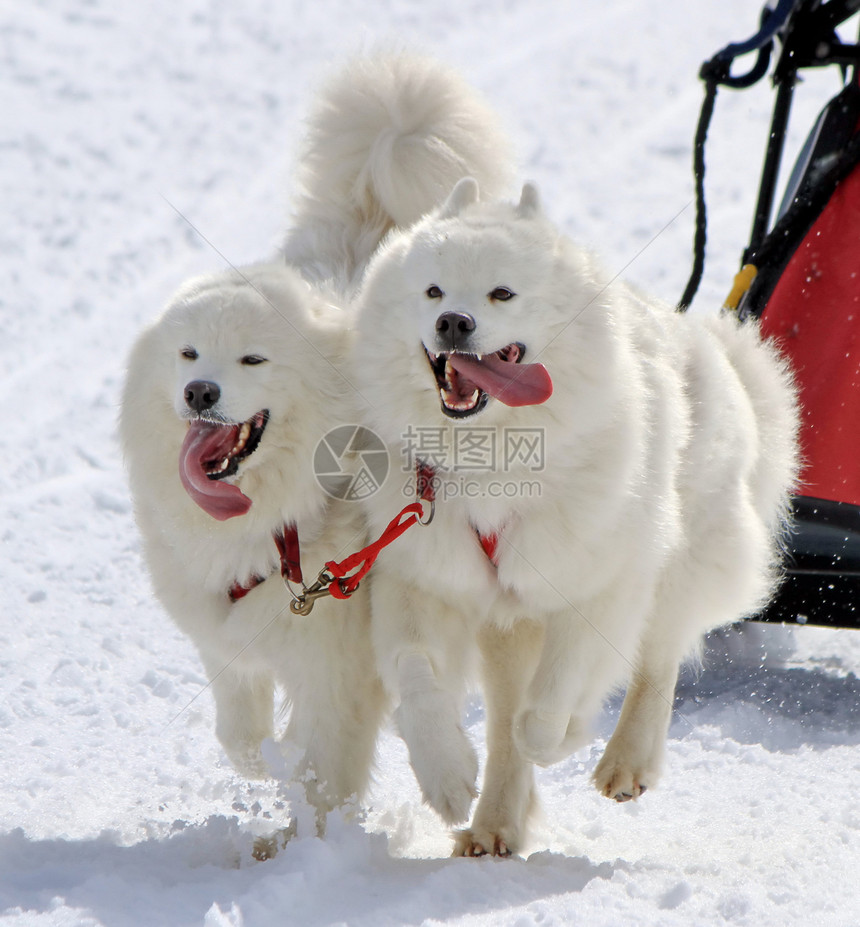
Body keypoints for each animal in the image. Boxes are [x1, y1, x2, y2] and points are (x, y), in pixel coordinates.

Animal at [118, 50, 512, 836]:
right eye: (188, 354)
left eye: (252, 360)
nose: (199, 392)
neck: (280, 524)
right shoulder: (226, 633)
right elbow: (239, 732)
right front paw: (261, 766)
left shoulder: (339, 663)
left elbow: (324, 768)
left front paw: (313, 843)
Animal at [352, 178, 800, 860]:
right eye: (432, 292)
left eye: (502, 293)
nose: (453, 322)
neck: (488, 456)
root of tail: (713, 345)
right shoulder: (425, 578)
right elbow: (417, 674)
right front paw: (448, 776)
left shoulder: (596, 584)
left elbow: (548, 707)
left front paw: (563, 736)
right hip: (508, 626)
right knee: (509, 716)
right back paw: (492, 824)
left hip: (676, 566)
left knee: (657, 661)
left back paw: (625, 763)